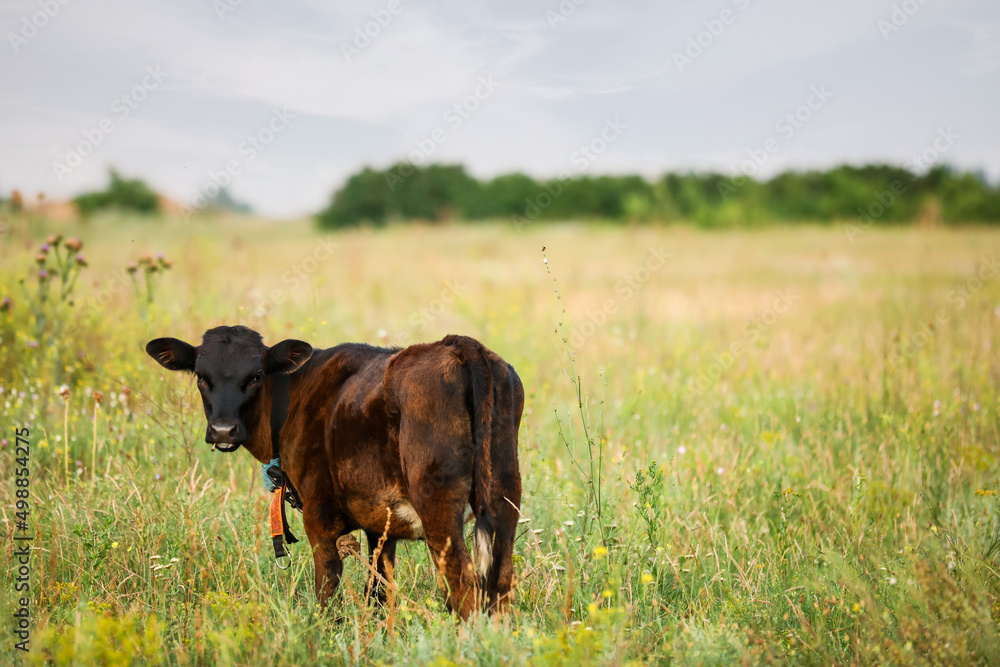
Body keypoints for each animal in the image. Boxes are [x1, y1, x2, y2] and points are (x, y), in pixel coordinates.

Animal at [148, 326, 528, 620]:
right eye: (201, 377)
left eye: (255, 376)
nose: (223, 430)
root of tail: (457, 344)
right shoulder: (380, 526)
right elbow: (378, 592)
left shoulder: (320, 518)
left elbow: (328, 593)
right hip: (505, 496)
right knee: (500, 581)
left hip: (438, 508)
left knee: (463, 584)